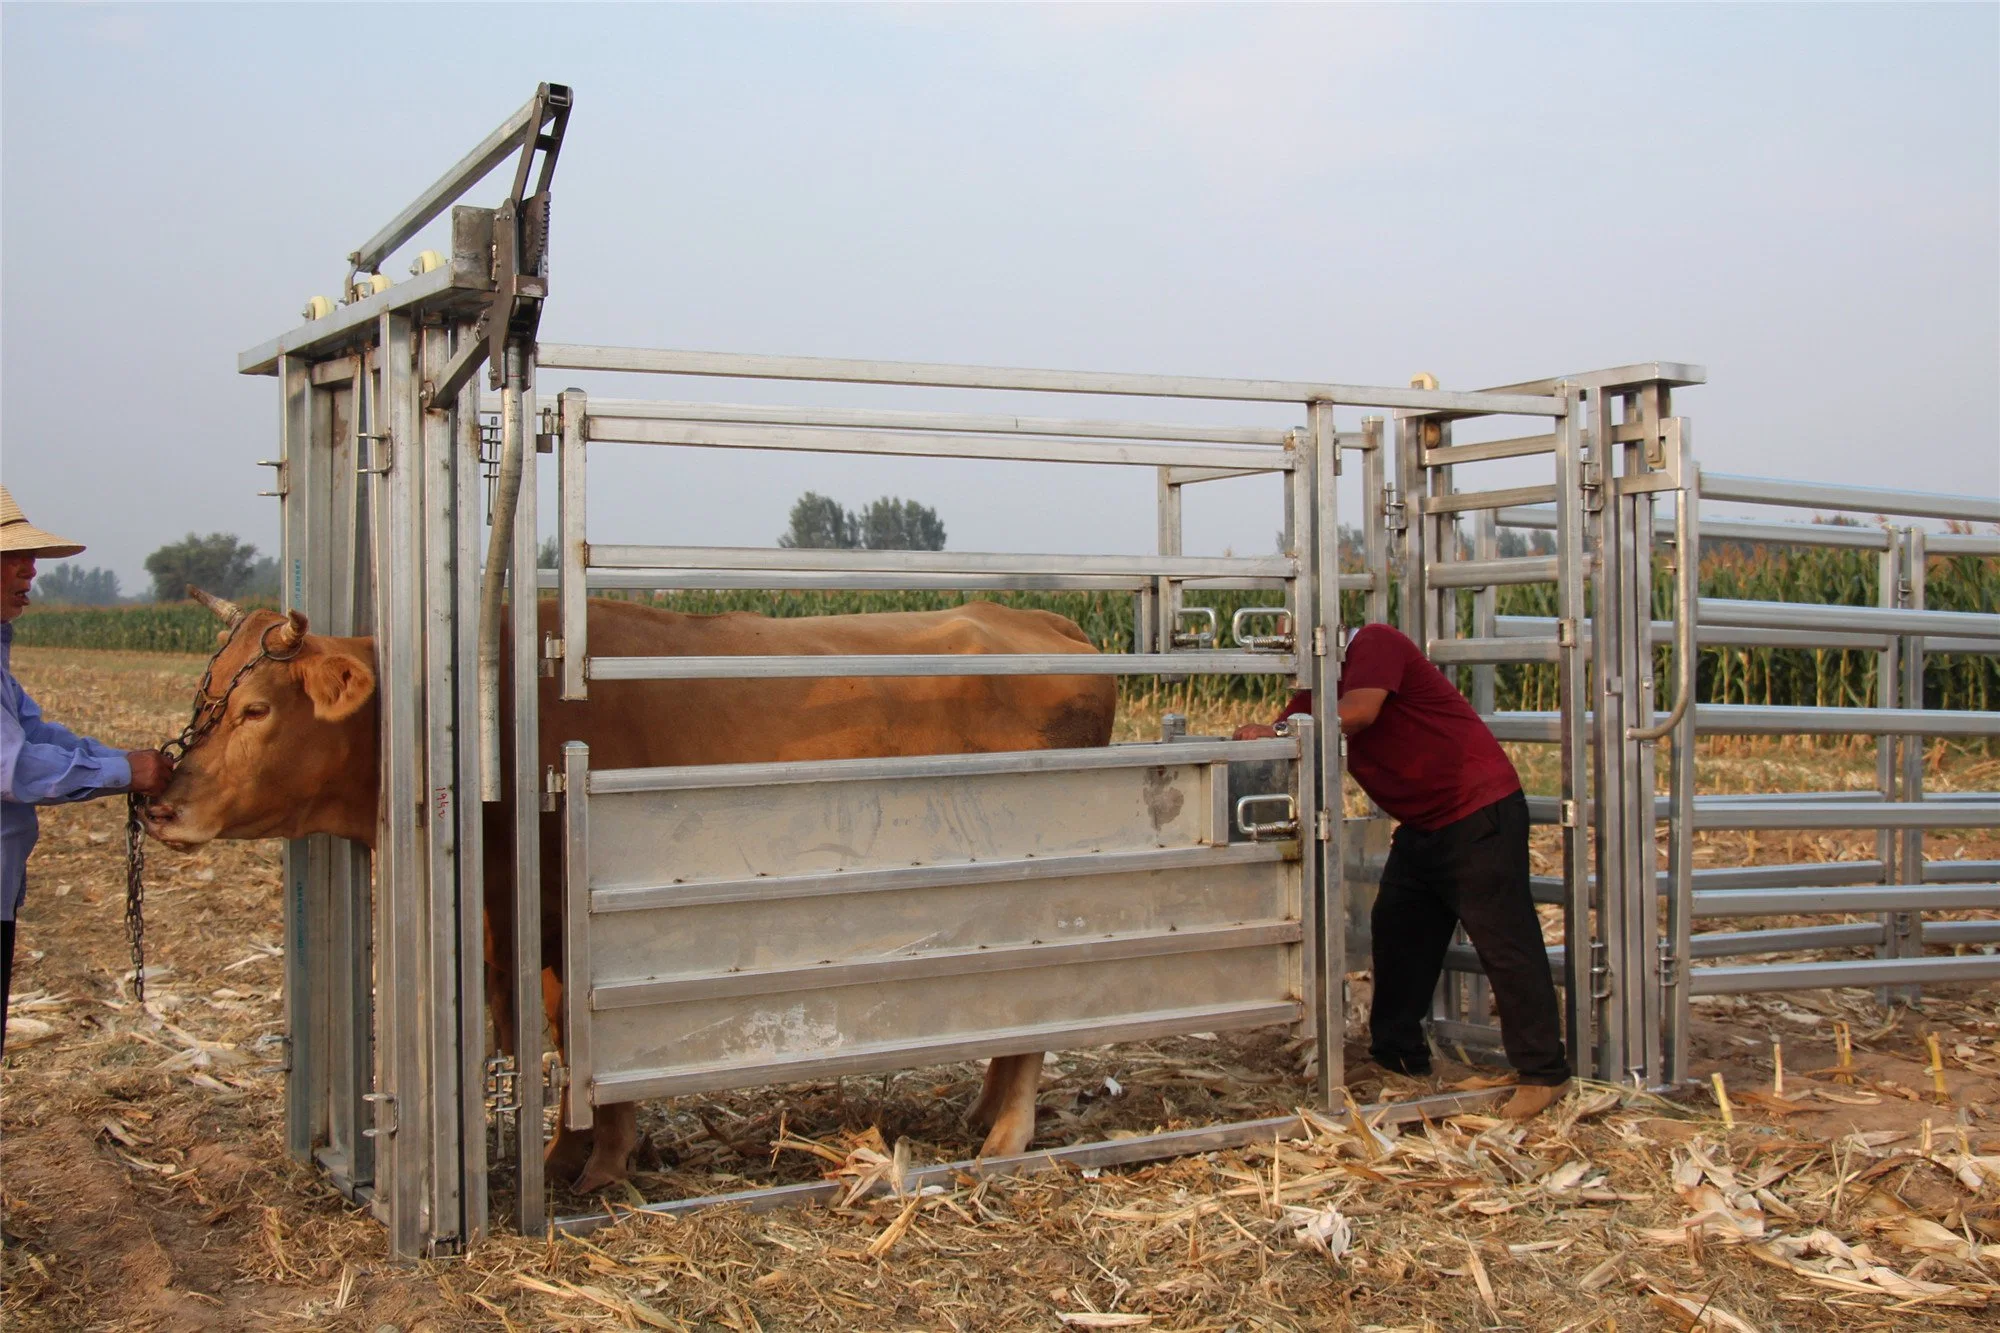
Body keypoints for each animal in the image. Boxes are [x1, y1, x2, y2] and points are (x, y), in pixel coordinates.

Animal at [148, 592, 1120, 1184]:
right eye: (205, 691)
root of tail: (1035, 618)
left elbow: (583, 1044)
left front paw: (603, 1161)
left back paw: (1006, 1134)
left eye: (256, 708)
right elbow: (555, 1034)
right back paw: (984, 1108)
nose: (160, 801)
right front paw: (561, 1152)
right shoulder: (528, 928)